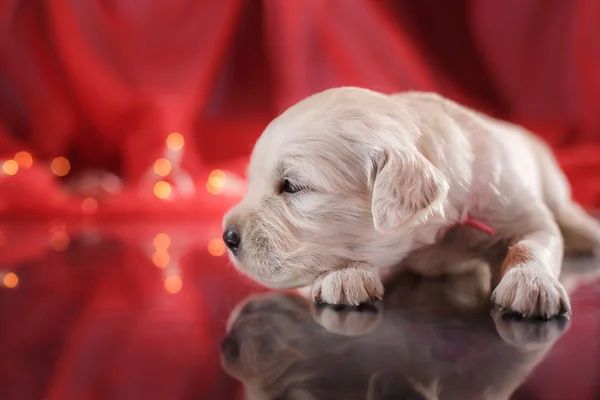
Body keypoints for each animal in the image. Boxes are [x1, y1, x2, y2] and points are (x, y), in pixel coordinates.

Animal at [221, 86, 600, 318]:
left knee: (566, 213)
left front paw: (530, 283)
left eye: (293, 186)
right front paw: (346, 275)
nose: (227, 237)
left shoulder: (520, 209)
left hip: (549, 177)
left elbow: (533, 242)